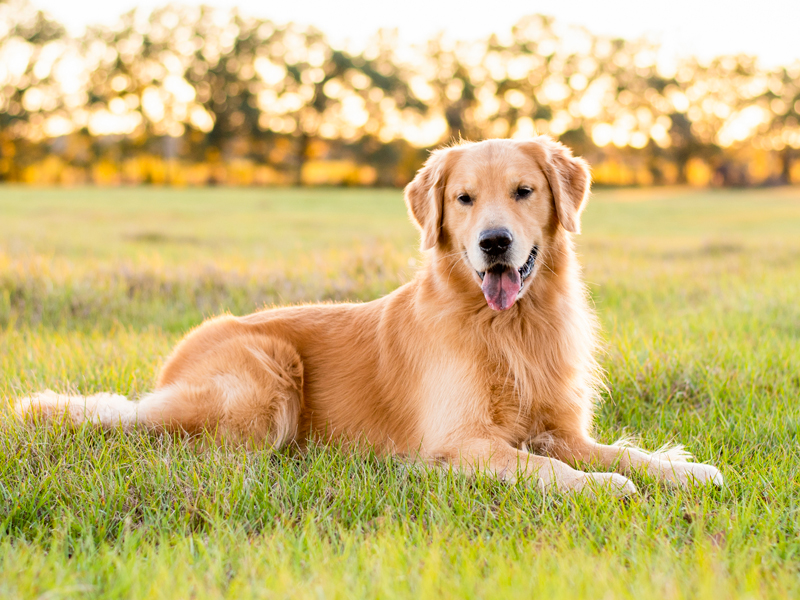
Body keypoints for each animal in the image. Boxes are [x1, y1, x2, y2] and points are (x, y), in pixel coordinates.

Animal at [14, 138, 724, 494]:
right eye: (464, 199)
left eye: (524, 192)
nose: (494, 242)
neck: (507, 326)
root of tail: (170, 368)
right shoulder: (462, 440)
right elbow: (557, 472)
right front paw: (607, 486)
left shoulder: (557, 427)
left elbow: (625, 452)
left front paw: (685, 471)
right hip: (266, 377)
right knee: (177, 444)